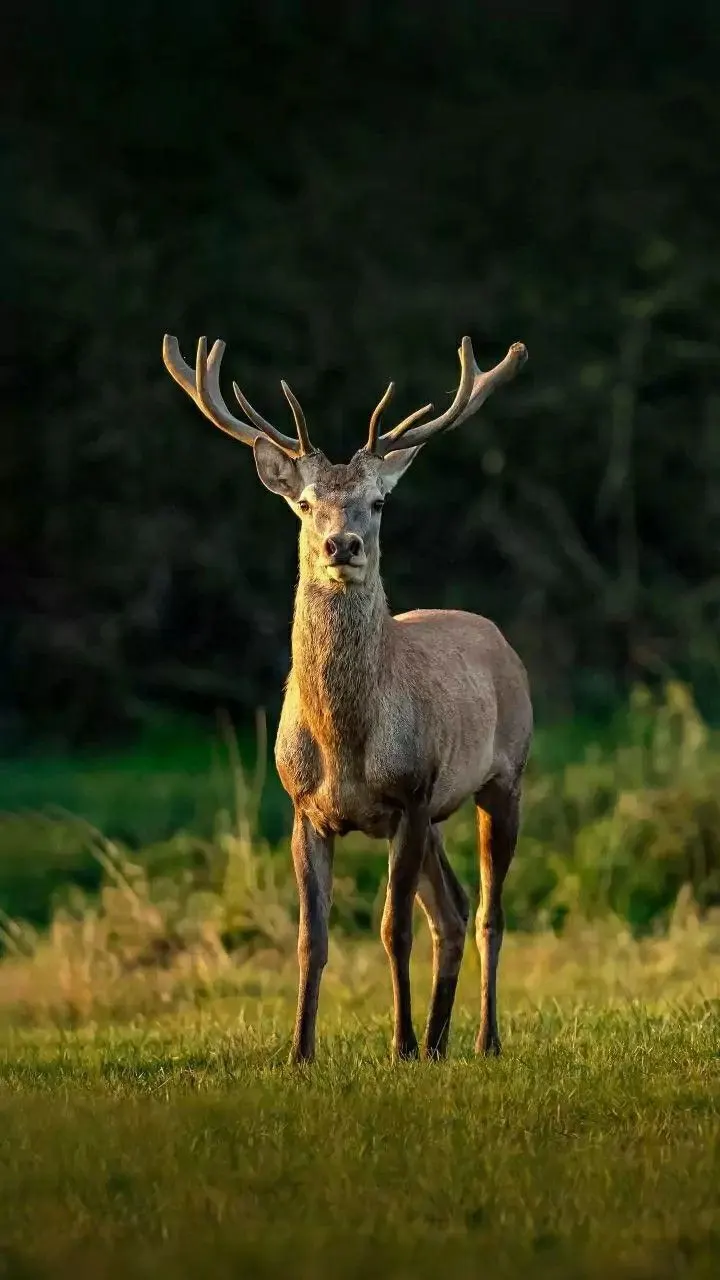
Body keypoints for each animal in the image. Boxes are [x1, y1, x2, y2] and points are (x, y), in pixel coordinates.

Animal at [162, 329, 532, 1064]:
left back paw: (482, 1040)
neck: (345, 743)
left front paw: (398, 1045)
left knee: (485, 914)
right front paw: (299, 1052)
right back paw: (441, 1043)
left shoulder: (411, 792)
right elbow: (314, 938)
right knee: (451, 912)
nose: (342, 543)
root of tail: (499, 637)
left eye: (379, 501)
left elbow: (393, 929)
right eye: (304, 503)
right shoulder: (304, 808)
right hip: (438, 814)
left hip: (504, 775)